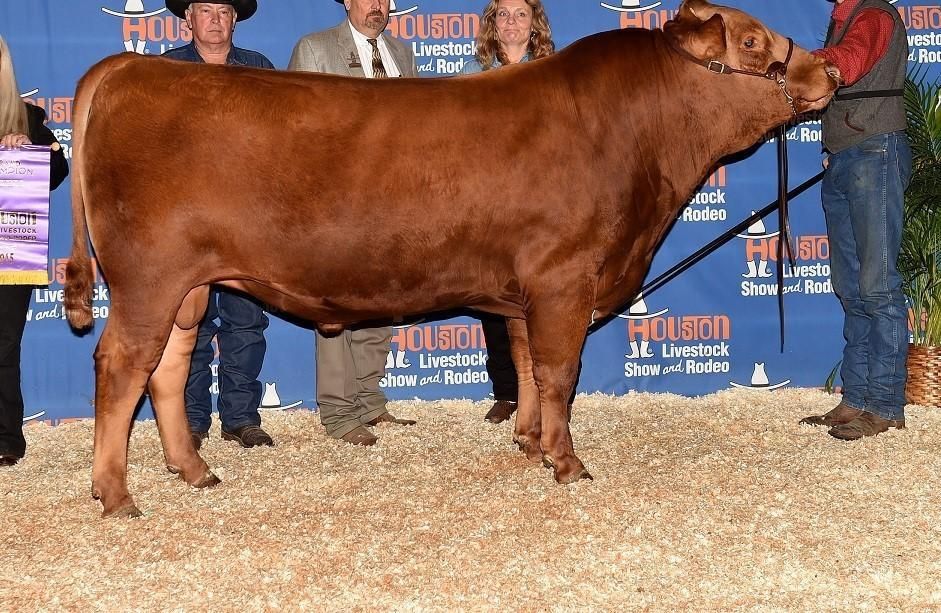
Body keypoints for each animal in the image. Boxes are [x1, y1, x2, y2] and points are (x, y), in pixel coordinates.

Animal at [64, 0, 839, 518]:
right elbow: (559, 372)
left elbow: (526, 365)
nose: (828, 68)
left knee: (167, 366)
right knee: (121, 366)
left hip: (187, 287)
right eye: (750, 38)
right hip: (149, 278)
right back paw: (115, 492)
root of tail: (134, 67)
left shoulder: (528, 289)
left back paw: (192, 469)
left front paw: (529, 442)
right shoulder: (565, 277)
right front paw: (567, 461)